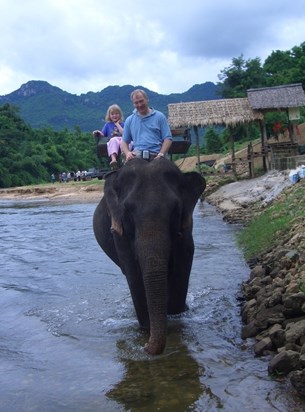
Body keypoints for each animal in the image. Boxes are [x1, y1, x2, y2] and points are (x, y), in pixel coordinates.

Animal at [92, 158, 204, 354]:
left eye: (175, 210)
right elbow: (134, 274)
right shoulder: (120, 235)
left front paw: (177, 317)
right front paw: (145, 329)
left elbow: (182, 266)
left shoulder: (186, 230)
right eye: (127, 211)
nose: (144, 347)